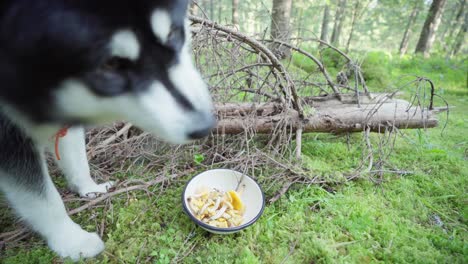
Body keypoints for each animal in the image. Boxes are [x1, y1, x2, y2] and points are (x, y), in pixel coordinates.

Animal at [0, 0, 215, 260]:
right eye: (110, 64)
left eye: (173, 33)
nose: (205, 125)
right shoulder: (8, 135)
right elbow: (41, 197)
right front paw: (71, 239)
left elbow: (75, 154)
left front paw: (88, 188)